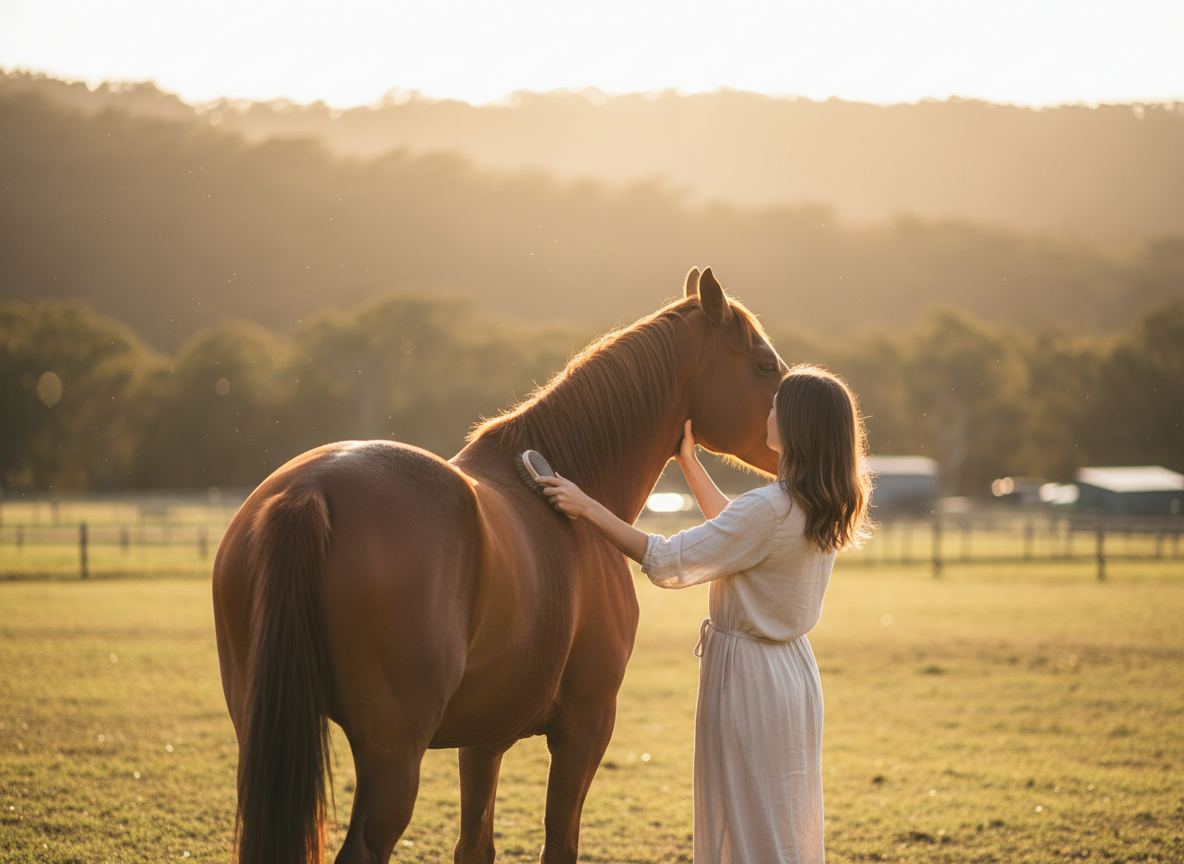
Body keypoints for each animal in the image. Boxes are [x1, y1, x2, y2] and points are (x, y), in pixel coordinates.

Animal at [212, 267, 787, 864]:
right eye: (764, 365)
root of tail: (311, 490)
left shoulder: (484, 738)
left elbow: (475, 845)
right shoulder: (585, 725)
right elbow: (559, 844)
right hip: (392, 753)